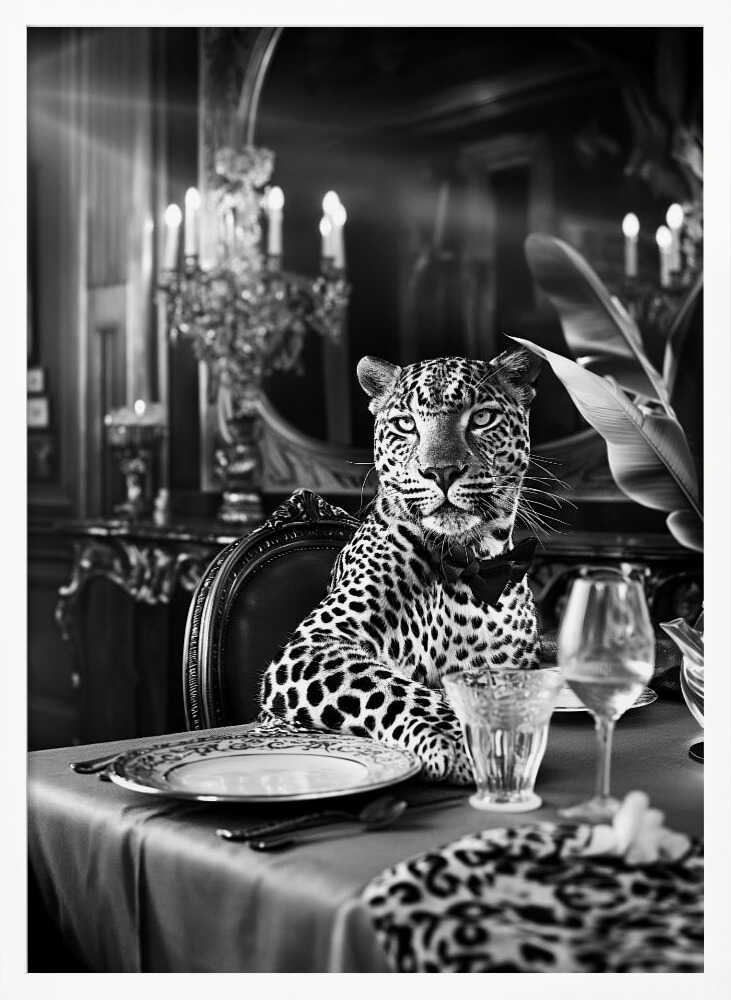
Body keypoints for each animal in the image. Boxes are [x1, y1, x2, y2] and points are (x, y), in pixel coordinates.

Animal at [260, 349, 544, 783]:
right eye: (406, 424)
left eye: (481, 418)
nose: (441, 472)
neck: (468, 563)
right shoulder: (313, 645)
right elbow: (391, 687)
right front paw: (461, 741)